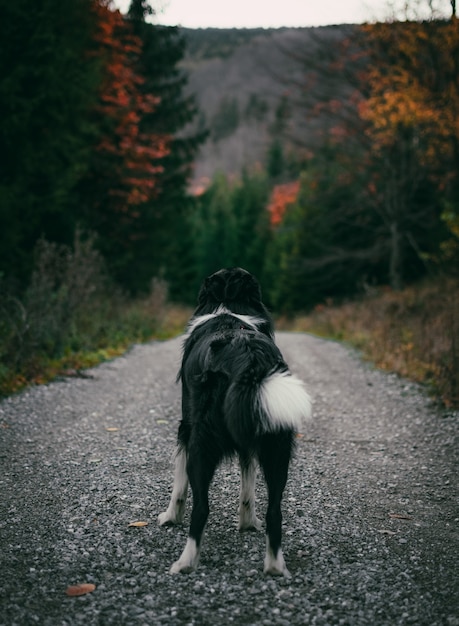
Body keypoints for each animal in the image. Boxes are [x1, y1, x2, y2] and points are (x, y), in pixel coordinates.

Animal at [158, 266, 312, 572]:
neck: (229, 309)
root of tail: (248, 356)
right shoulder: (249, 435)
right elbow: (248, 483)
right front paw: (247, 523)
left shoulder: (185, 426)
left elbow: (179, 482)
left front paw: (170, 516)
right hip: (277, 444)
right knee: (275, 510)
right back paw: (275, 567)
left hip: (202, 441)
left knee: (201, 508)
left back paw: (185, 563)